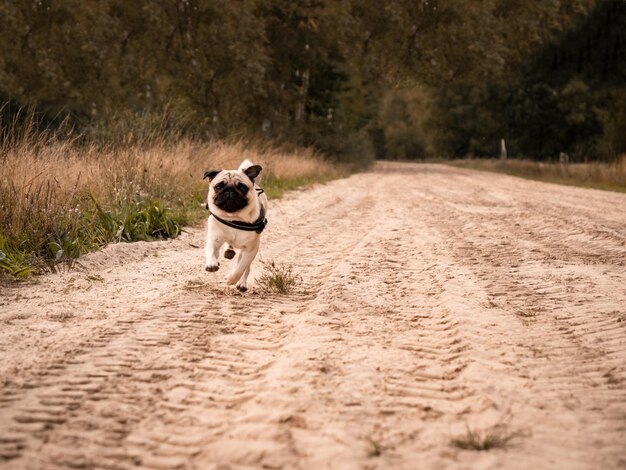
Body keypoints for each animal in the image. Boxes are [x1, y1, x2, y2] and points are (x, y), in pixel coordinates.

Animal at [202, 159, 266, 290]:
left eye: (242, 187)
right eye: (218, 186)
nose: (230, 190)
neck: (234, 218)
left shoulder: (251, 250)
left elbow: (241, 268)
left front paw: (231, 279)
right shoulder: (214, 239)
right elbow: (210, 250)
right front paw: (211, 263)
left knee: (246, 267)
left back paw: (242, 283)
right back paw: (228, 251)